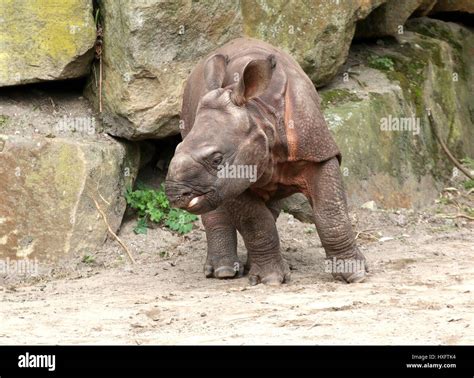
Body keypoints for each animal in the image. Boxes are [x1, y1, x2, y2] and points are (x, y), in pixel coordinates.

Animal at [165, 39, 368, 286]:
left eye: (216, 159)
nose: (175, 194)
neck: (259, 114)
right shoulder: (230, 181)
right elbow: (256, 222)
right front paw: (271, 279)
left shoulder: (317, 152)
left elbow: (330, 212)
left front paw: (355, 274)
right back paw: (223, 272)